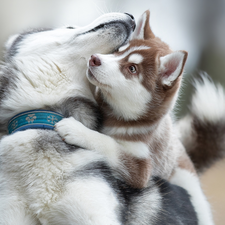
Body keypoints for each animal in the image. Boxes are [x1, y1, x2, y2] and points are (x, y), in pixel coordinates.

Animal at [56, 9, 214, 224]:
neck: (120, 118)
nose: (95, 58)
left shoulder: (142, 170)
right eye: (119, 51)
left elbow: (109, 144)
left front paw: (77, 130)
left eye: (132, 69)